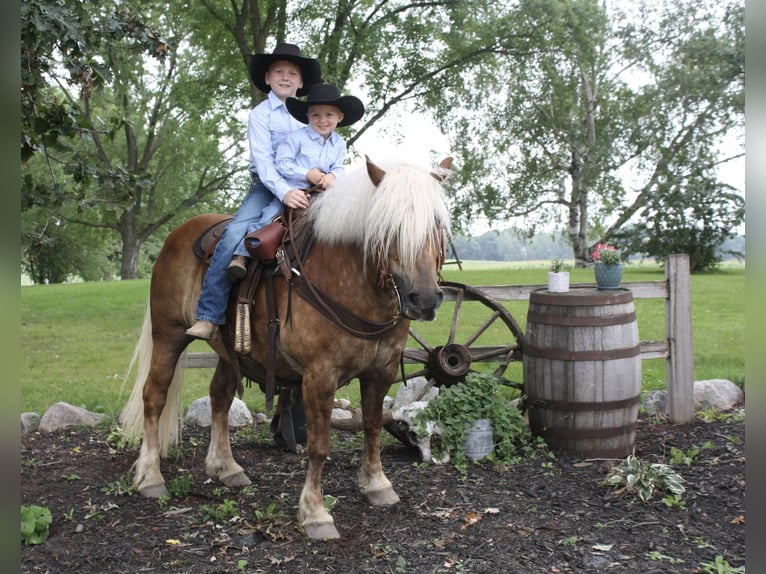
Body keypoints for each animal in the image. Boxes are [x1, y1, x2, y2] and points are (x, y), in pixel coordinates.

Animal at [122, 156, 452, 540]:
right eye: (388, 226)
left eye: (437, 224)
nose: (424, 299)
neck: (353, 284)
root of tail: (178, 234)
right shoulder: (319, 376)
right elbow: (319, 445)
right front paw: (315, 512)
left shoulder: (381, 371)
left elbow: (372, 425)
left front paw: (377, 484)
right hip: (168, 334)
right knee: (154, 395)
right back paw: (150, 476)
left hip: (229, 350)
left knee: (220, 396)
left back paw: (226, 467)